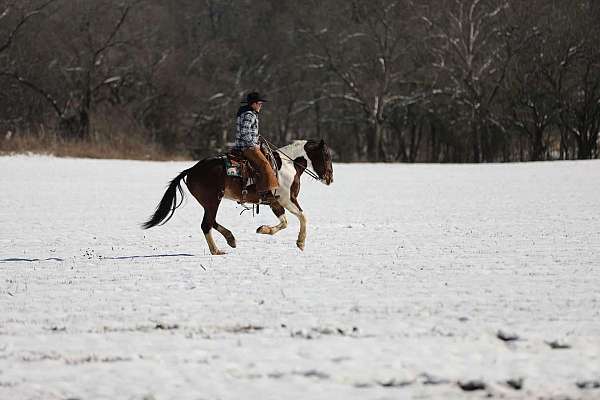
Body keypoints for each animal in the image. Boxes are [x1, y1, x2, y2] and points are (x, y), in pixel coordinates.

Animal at [144, 139, 336, 255]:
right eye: (326, 155)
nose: (330, 179)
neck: (287, 165)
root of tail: (191, 170)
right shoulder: (286, 199)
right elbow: (301, 217)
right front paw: (300, 242)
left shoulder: (275, 202)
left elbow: (285, 222)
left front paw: (264, 230)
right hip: (213, 201)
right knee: (206, 224)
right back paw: (217, 250)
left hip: (210, 203)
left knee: (211, 222)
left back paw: (231, 239)